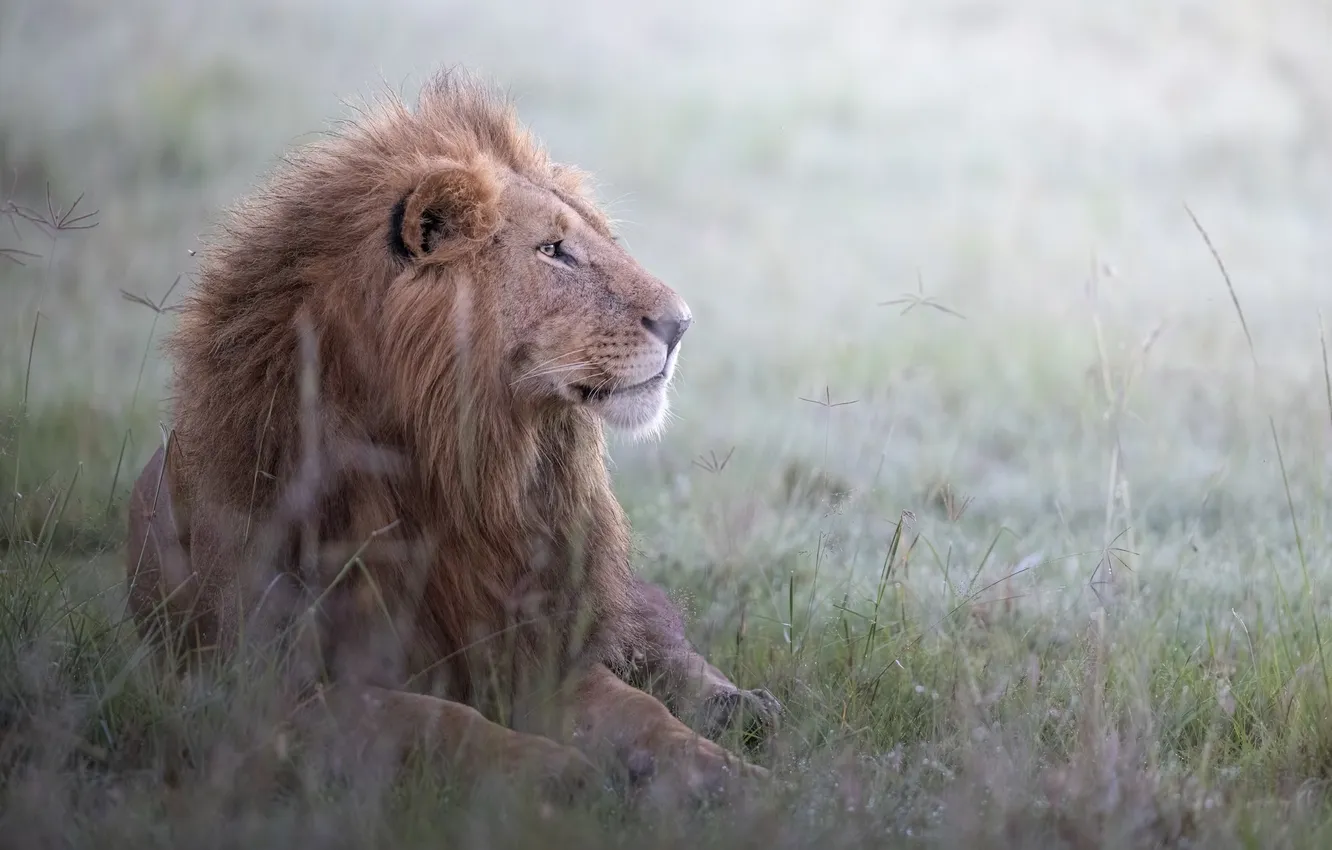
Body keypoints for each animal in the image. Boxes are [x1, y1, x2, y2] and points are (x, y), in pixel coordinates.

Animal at [124, 70, 780, 804]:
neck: (467, 471)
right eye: (552, 251)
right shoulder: (272, 690)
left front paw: (734, 779)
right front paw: (558, 773)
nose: (682, 323)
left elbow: (644, 713)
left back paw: (742, 707)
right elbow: (436, 719)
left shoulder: (538, 648)